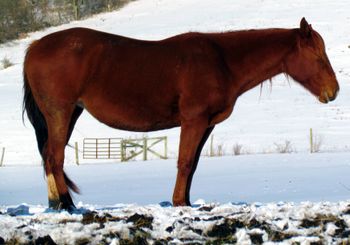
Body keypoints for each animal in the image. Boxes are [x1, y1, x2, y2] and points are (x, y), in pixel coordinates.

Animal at [22, 18, 340, 211]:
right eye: (317, 55)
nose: (333, 91)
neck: (221, 60)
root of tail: (35, 47)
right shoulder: (194, 121)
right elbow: (185, 163)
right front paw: (179, 203)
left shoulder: (206, 125)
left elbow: (193, 164)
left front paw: (184, 201)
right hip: (60, 112)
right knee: (54, 157)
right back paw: (66, 204)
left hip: (70, 113)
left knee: (50, 157)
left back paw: (57, 202)